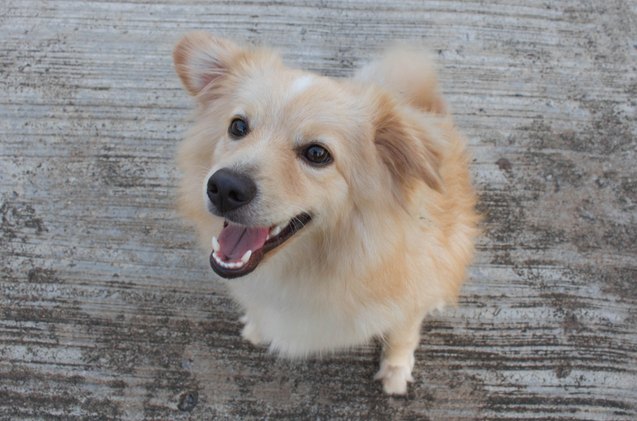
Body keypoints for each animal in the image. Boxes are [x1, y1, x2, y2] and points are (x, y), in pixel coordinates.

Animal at [171, 33, 480, 394]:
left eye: (317, 154)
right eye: (238, 127)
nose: (223, 187)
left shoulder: (411, 298)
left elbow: (403, 335)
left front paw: (395, 370)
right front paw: (258, 325)